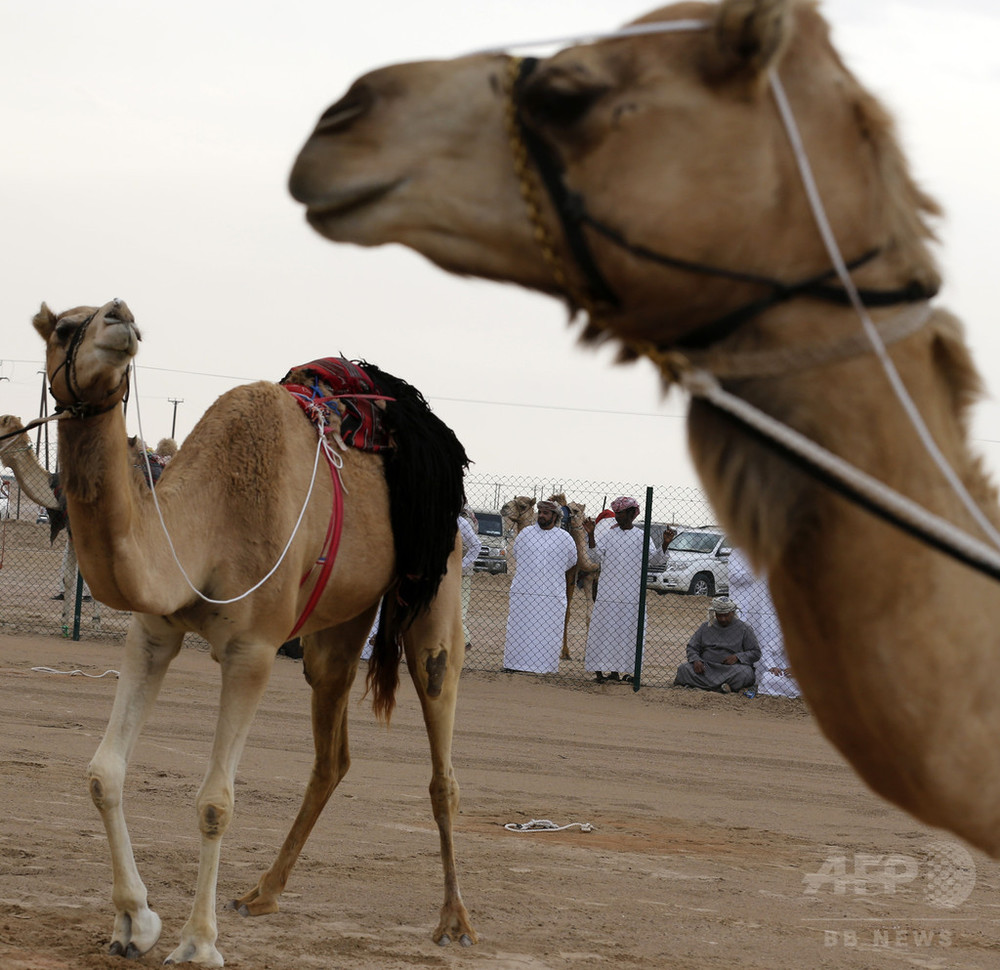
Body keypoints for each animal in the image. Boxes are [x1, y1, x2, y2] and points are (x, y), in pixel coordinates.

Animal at [33, 300, 478, 960]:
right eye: (63, 326)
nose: (121, 317)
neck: (206, 522)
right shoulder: (153, 631)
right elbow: (102, 772)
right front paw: (133, 922)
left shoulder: (254, 650)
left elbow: (216, 802)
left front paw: (197, 943)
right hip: (337, 625)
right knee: (332, 754)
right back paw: (263, 892)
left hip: (434, 584)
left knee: (441, 747)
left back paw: (454, 920)